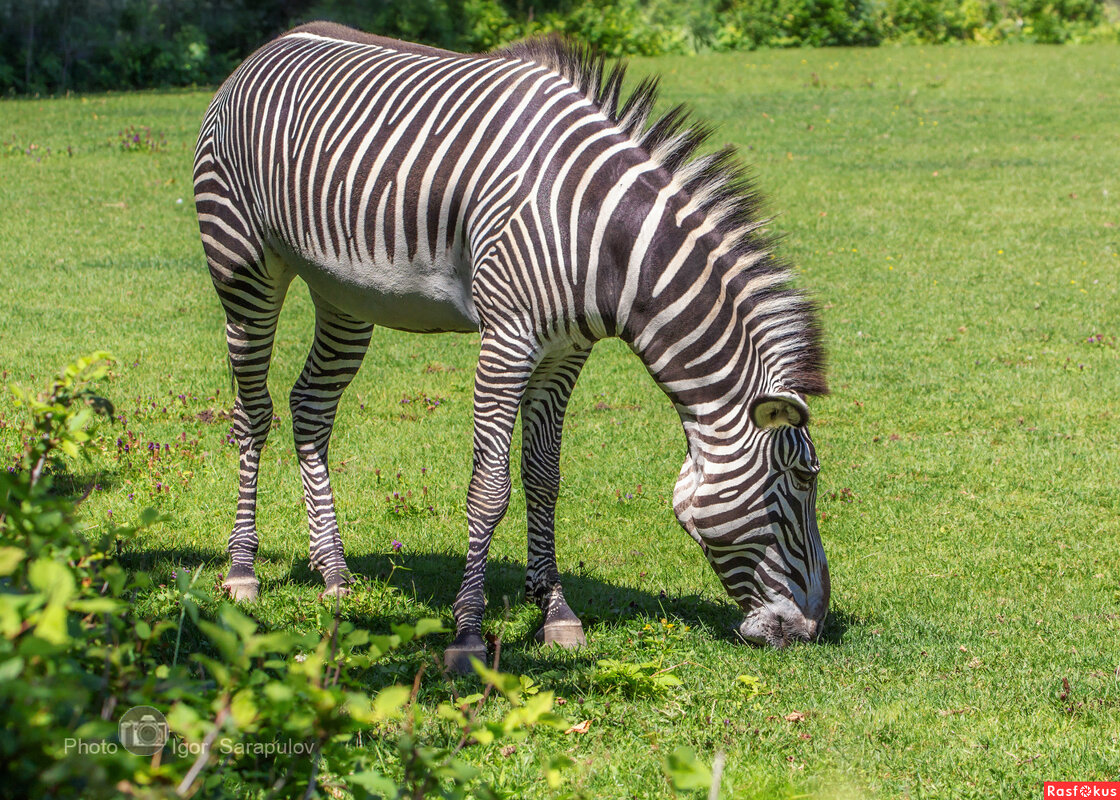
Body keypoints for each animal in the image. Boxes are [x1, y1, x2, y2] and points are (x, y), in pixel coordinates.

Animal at [194, 21, 833, 667]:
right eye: (804, 481)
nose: (810, 629)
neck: (602, 240)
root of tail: (271, 45)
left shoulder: (565, 351)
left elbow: (544, 476)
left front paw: (555, 610)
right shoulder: (507, 339)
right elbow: (491, 488)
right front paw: (468, 633)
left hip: (344, 292)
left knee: (310, 408)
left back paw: (334, 573)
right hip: (242, 265)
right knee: (252, 412)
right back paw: (243, 570)